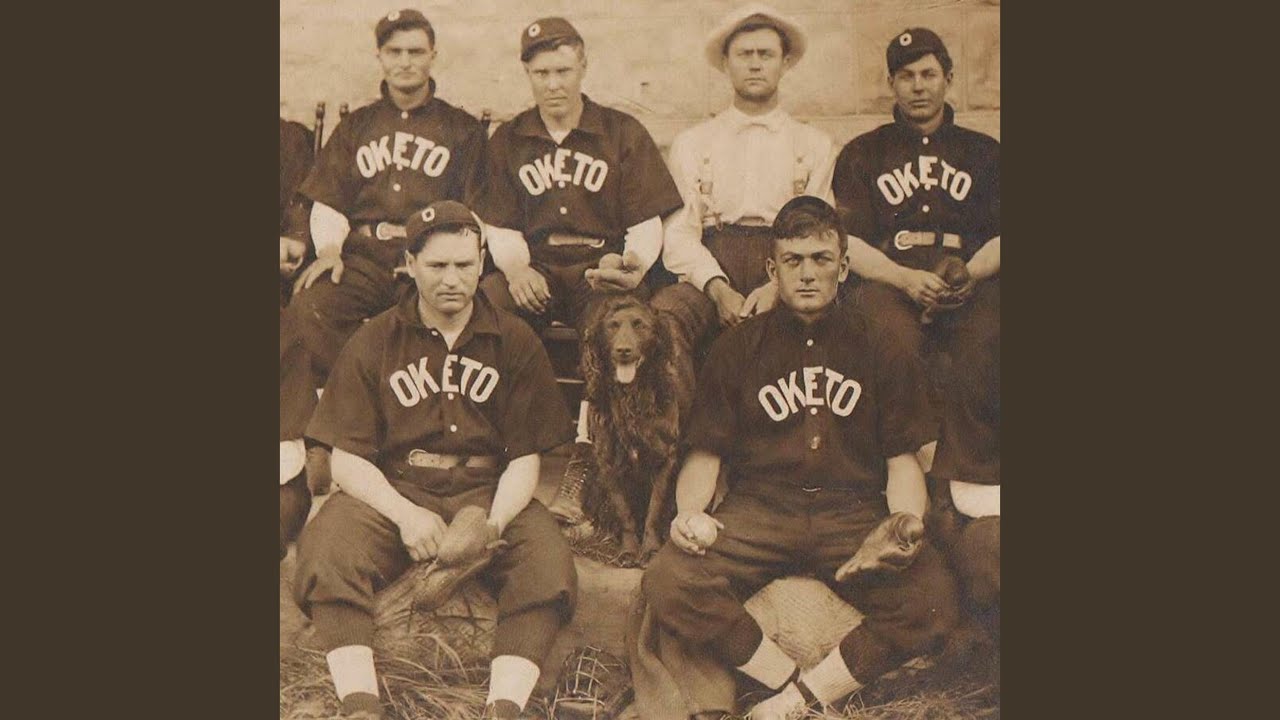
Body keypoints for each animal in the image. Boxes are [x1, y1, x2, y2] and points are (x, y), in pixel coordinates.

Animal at [579, 294, 691, 566]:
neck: (631, 398)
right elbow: (624, 512)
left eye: (640, 325)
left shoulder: (665, 459)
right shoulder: (608, 462)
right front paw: (629, 550)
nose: (623, 350)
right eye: (612, 326)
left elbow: (655, 509)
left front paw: (649, 549)